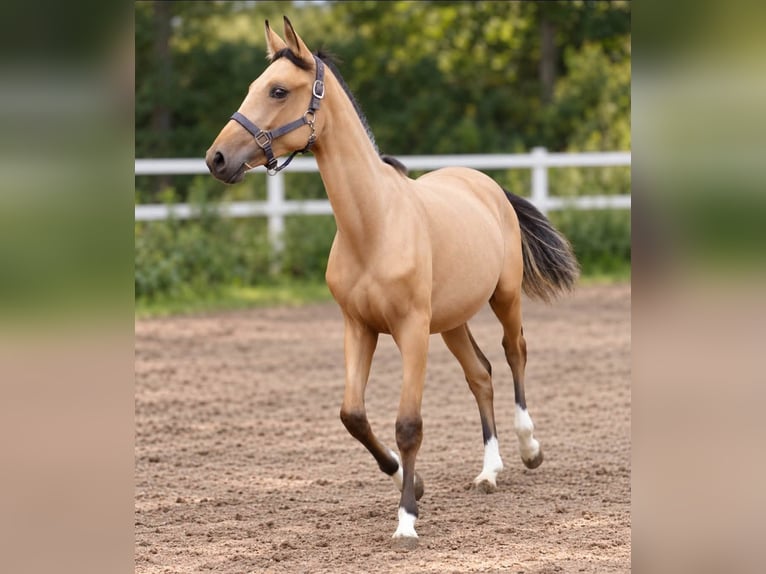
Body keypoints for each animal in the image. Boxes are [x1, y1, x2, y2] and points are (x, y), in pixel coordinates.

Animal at [206, 16, 579, 542]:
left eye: (278, 90)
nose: (216, 158)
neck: (374, 225)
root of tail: (484, 183)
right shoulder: (358, 327)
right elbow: (353, 415)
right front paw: (411, 481)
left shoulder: (411, 331)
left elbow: (408, 425)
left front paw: (407, 521)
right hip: (452, 322)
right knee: (480, 374)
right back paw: (488, 472)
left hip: (503, 299)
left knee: (514, 353)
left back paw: (529, 449)